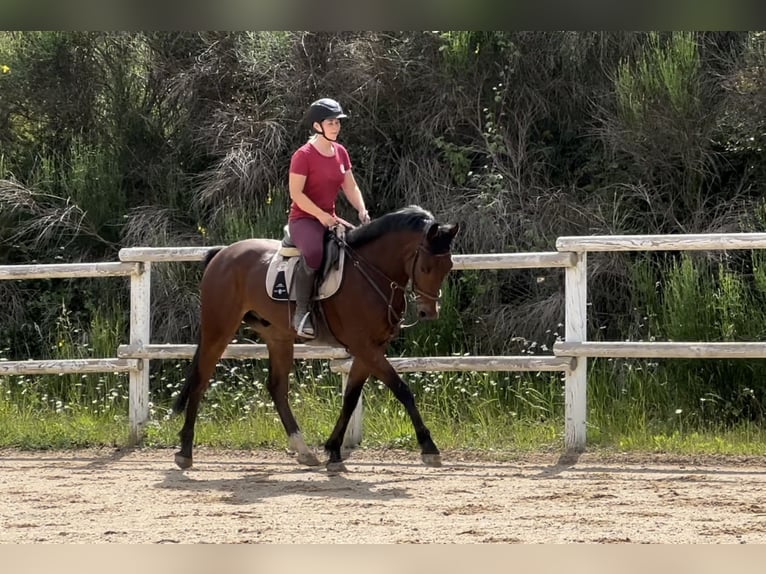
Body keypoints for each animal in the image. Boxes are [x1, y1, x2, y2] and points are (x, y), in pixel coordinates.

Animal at [172, 206, 462, 472]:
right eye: (425, 267)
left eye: (448, 266)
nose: (428, 312)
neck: (370, 272)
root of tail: (222, 253)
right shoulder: (365, 347)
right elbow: (402, 390)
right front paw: (429, 447)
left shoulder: (370, 349)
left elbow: (350, 398)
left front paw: (333, 449)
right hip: (218, 330)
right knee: (200, 382)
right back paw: (185, 451)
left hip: (278, 337)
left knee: (276, 388)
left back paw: (303, 451)